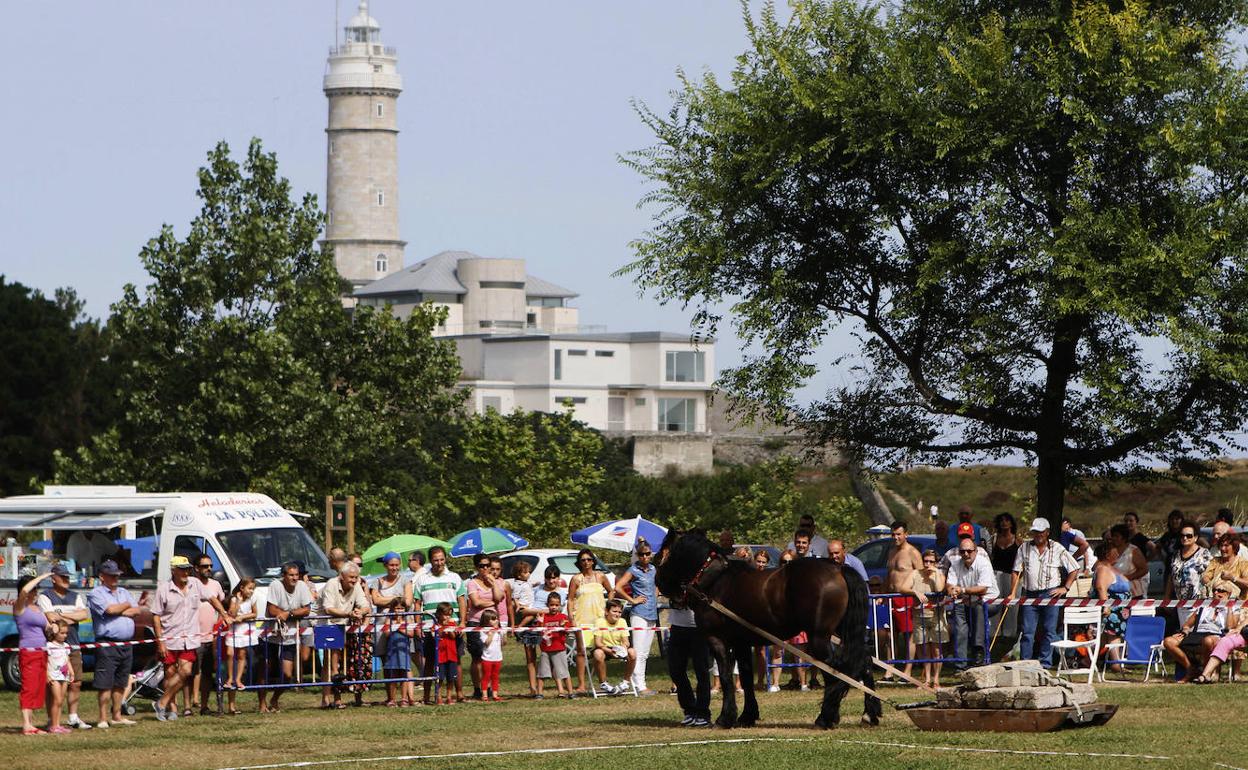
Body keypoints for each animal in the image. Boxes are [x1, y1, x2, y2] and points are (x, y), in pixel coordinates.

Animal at [653, 529, 878, 728]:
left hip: (819, 638)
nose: (657, 581)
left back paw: (826, 717)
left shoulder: (717, 639)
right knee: (864, 661)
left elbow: (726, 677)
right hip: (841, 633)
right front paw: (747, 716)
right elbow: (745, 677)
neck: (715, 581)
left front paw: (725, 718)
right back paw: (869, 714)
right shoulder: (742, 643)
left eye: (663, 551)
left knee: (835, 671)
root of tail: (838, 569)